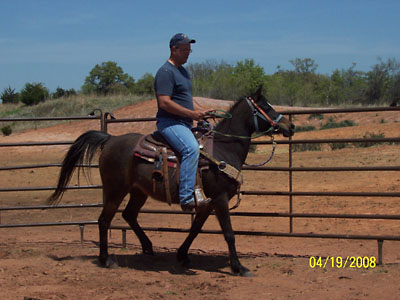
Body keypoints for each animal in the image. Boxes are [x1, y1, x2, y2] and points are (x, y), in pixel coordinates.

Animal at [48, 85, 296, 278]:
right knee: (103, 220)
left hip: (138, 191)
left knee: (129, 215)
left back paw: (147, 247)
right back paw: (105, 259)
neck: (224, 149)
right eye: (266, 106)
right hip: (114, 190)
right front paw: (239, 267)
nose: (290, 126)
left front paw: (182, 255)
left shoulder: (206, 203)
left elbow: (195, 229)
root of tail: (110, 139)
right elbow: (229, 233)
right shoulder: (220, 198)